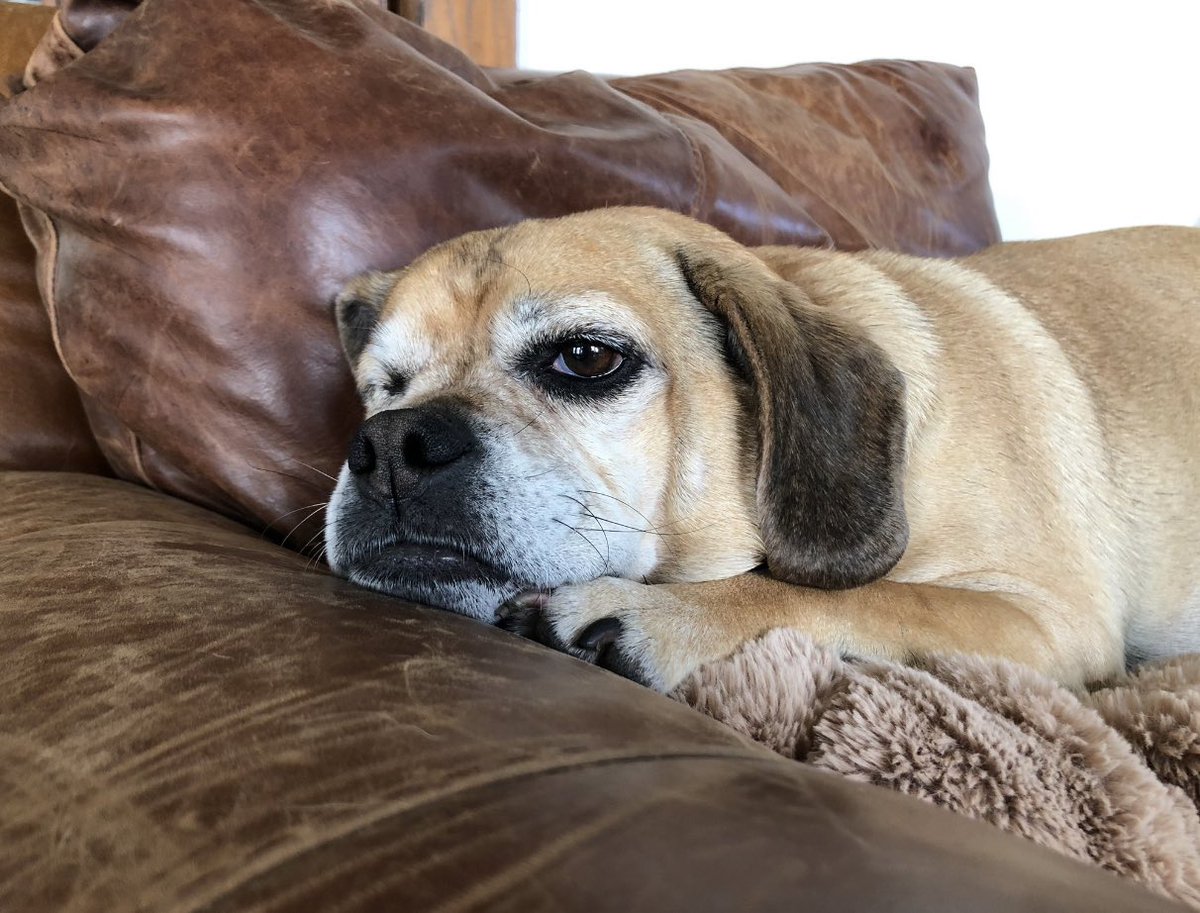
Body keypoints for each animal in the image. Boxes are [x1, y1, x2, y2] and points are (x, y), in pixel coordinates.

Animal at [321, 208, 1200, 691]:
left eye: (586, 359)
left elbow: (861, 595)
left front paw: (661, 615)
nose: (393, 441)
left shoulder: (1051, 617)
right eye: (382, 387)